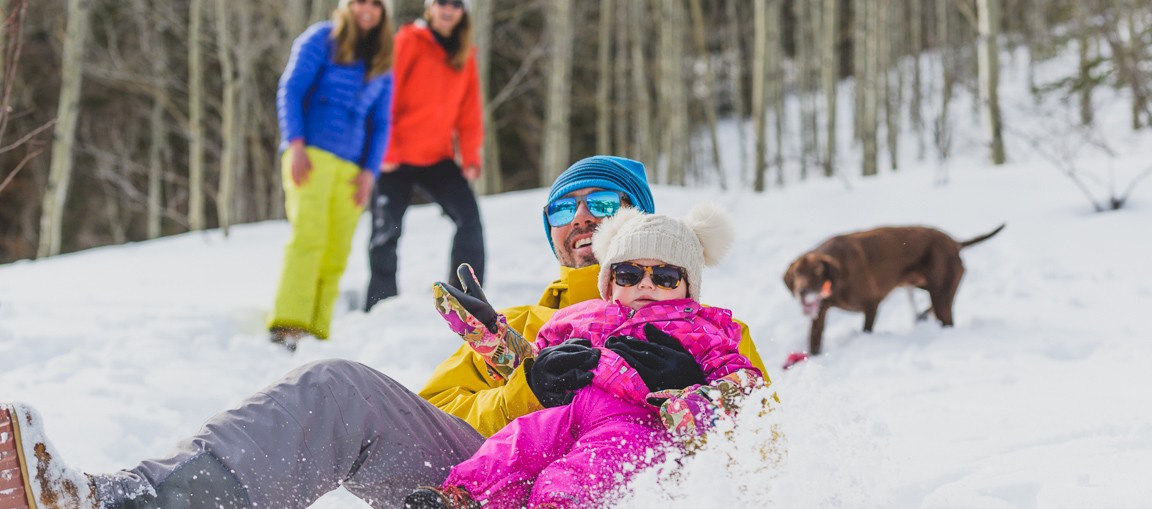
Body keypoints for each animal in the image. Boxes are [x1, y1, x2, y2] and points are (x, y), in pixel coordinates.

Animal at [783, 224, 999, 356]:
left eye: (817, 271)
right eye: (796, 274)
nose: (802, 291)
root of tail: (956, 243)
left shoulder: (871, 303)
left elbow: (866, 329)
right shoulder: (819, 312)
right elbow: (814, 341)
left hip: (941, 295)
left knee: (946, 319)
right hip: (930, 289)